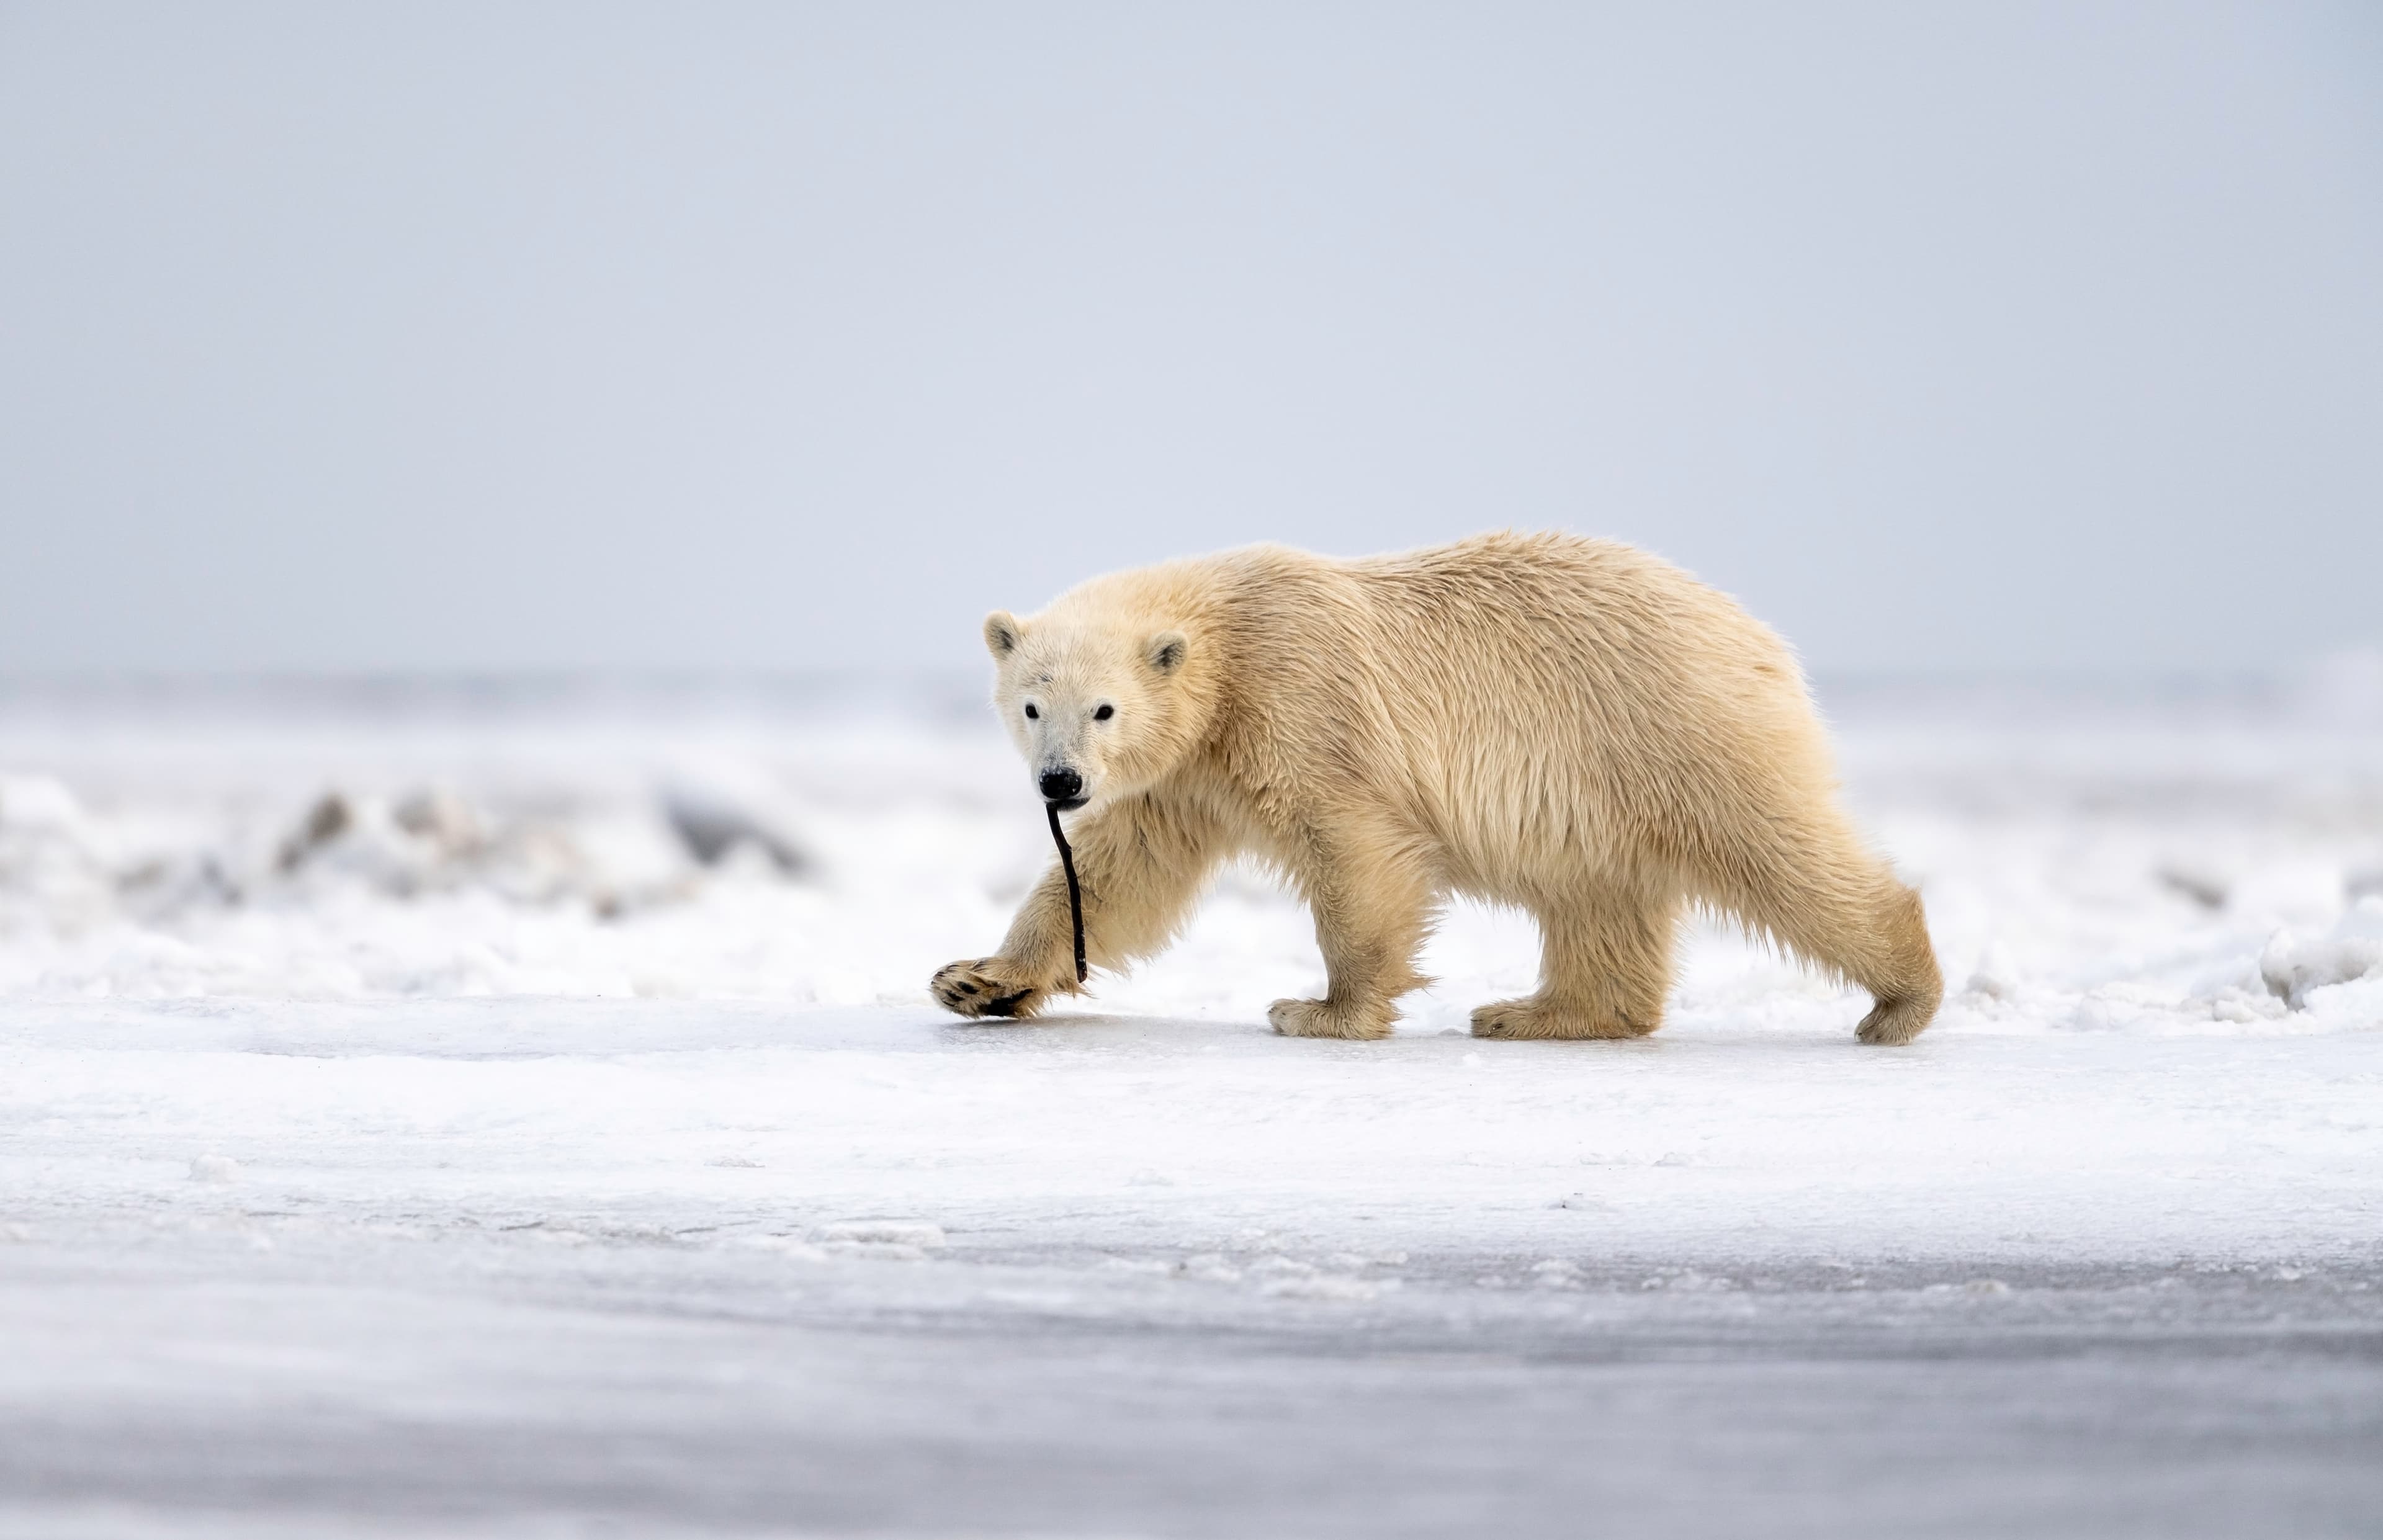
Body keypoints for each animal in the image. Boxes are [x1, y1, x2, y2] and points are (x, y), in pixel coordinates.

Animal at [931, 531, 1942, 1045]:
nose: (1061, 781)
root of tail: (1756, 637)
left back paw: (1900, 1001)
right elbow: (1117, 874)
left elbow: (1355, 848)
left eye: (1104, 708)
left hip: (1670, 725)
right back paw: (1538, 1012)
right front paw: (976, 979)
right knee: (1598, 896)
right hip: (1608, 786)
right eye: (1030, 705)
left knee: (1778, 851)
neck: (1229, 645)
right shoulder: (1188, 774)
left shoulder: (1302, 703)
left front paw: (1320, 1009)